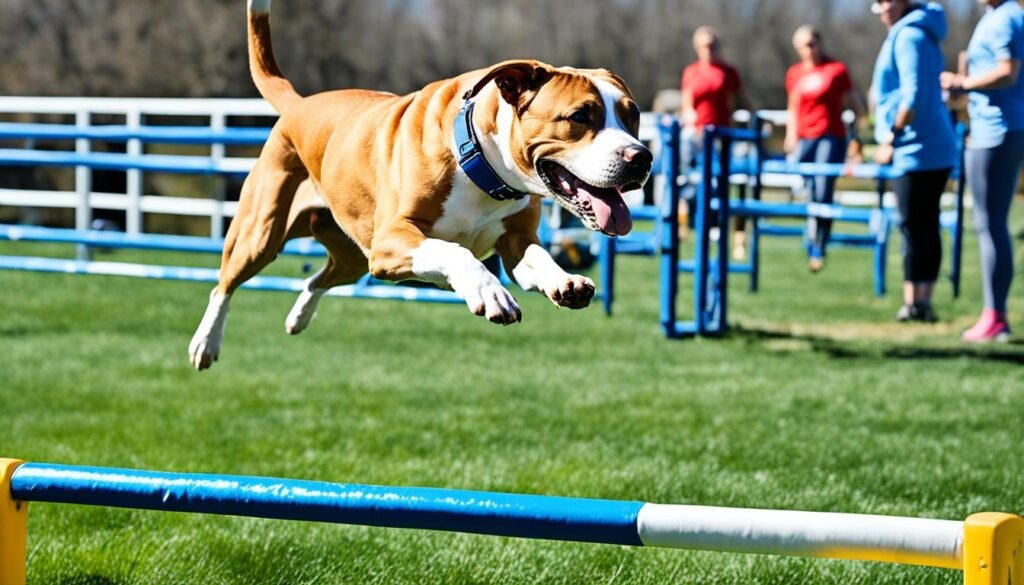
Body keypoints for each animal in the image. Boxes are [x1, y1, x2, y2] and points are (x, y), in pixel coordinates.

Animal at [188, 0, 651, 370]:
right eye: (580, 117)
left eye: (633, 116)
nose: (641, 157)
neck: (481, 162)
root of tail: (300, 105)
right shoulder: (394, 239)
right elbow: (456, 252)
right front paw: (490, 292)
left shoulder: (514, 242)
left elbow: (532, 257)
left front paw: (563, 280)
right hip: (263, 233)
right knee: (224, 284)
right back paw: (205, 343)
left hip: (355, 255)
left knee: (319, 277)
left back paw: (297, 317)